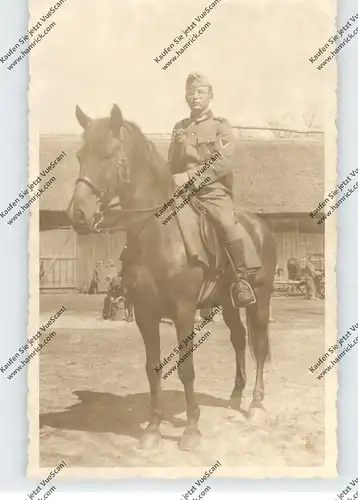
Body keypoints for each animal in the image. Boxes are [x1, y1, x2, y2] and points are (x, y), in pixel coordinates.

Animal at [67, 75, 276, 454]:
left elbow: (186, 369)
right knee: (239, 340)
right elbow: (153, 367)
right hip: (226, 303)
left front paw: (191, 429)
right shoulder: (145, 313)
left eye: (108, 153)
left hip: (261, 300)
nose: (78, 215)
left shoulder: (182, 311)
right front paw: (152, 428)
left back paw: (255, 404)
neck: (156, 234)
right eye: (79, 154)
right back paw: (235, 397)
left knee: (260, 347)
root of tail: (260, 225)